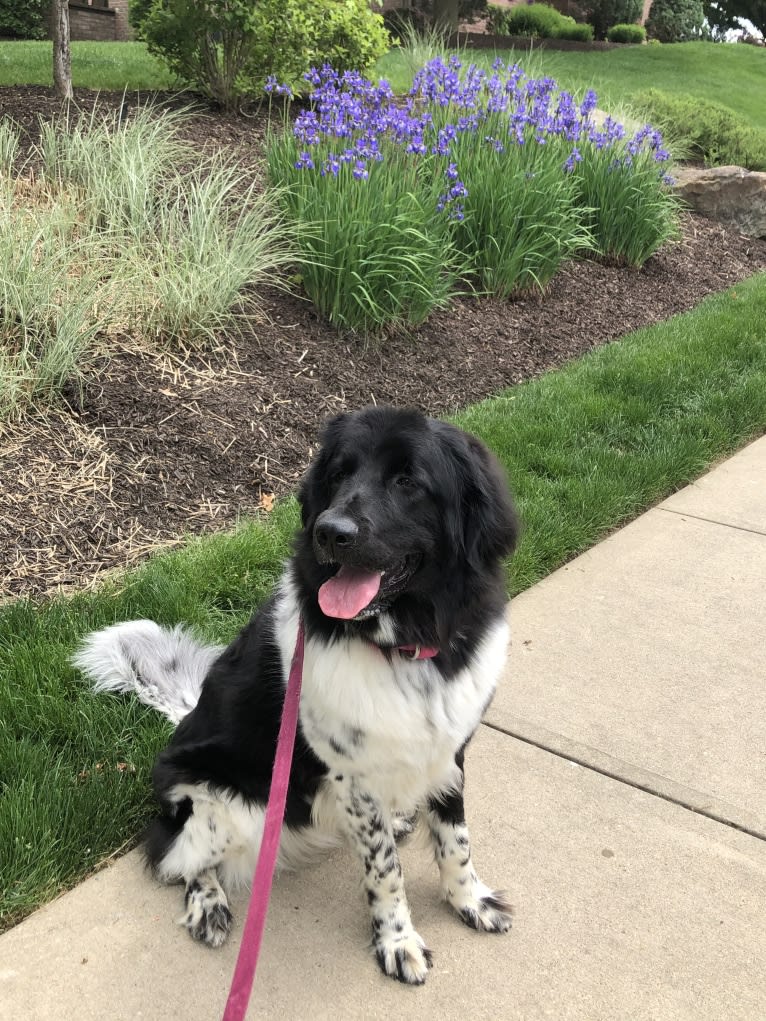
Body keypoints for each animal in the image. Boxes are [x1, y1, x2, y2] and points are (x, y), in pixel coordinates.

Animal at [76, 404, 522, 980]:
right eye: (338, 474)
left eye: (408, 481)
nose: (331, 532)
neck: (400, 643)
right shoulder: (351, 777)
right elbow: (386, 872)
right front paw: (397, 941)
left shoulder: (448, 750)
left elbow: (456, 841)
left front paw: (469, 902)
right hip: (230, 803)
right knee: (173, 854)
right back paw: (208, 903)